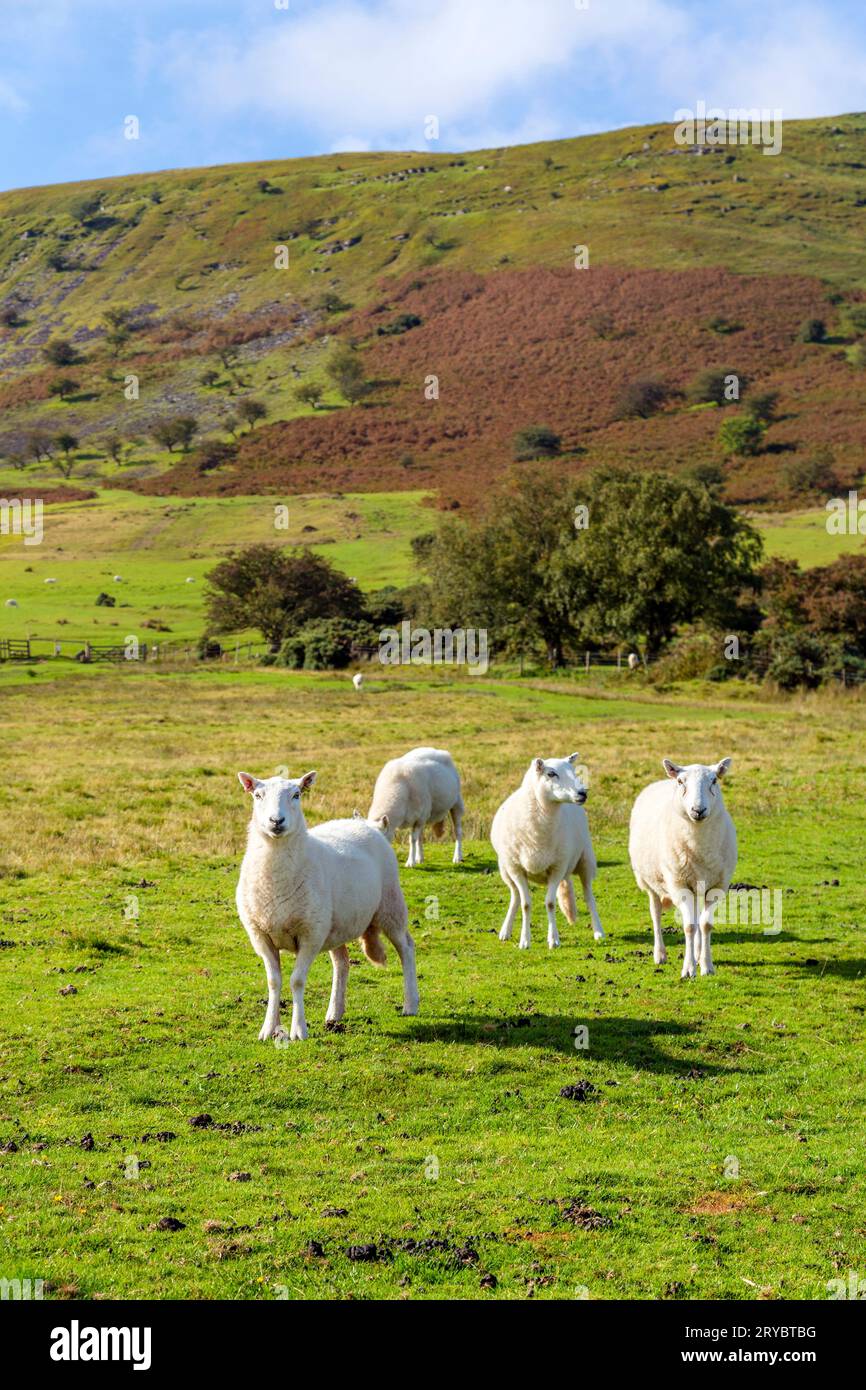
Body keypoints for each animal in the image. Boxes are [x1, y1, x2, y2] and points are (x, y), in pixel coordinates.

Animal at [233, 772, 417, 1045]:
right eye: (257, 795)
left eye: (296, 794)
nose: (276, 821)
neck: (274, 881)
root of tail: (368, 825)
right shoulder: (261, 935)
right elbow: (274, 981)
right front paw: (269, 1028)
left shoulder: (310, 935)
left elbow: (297, 981)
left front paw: (299, 1030)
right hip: (335, 925)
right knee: (342, 962)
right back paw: (334, 1013)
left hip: (390, 906)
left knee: (406, 948)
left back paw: (410, 1004)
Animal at [492, 756, 606, 950]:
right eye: (551, 774)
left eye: (574, 772)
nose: (583, 793)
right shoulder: (516, 869)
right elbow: (525, 904)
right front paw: (524, 940)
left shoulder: (557, 868)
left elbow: (550, 903)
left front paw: (553, 939)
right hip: (505, 870)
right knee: (515, 896)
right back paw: (505, 931)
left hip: (585, 860)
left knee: (589, 897)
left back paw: (598, 931)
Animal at [631, 761, 739, 978]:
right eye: (681, 782)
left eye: (714, 780)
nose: (698, 810)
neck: (699, 846)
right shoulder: (679, 884)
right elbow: (689, 926)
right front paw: (689, 969)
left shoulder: (717, 885)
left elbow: (705, 924)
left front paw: (706, 965)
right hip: (649, 881)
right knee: (655, 913)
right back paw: (660, 954)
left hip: (697, 883)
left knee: (697, 918)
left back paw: (697, 952)